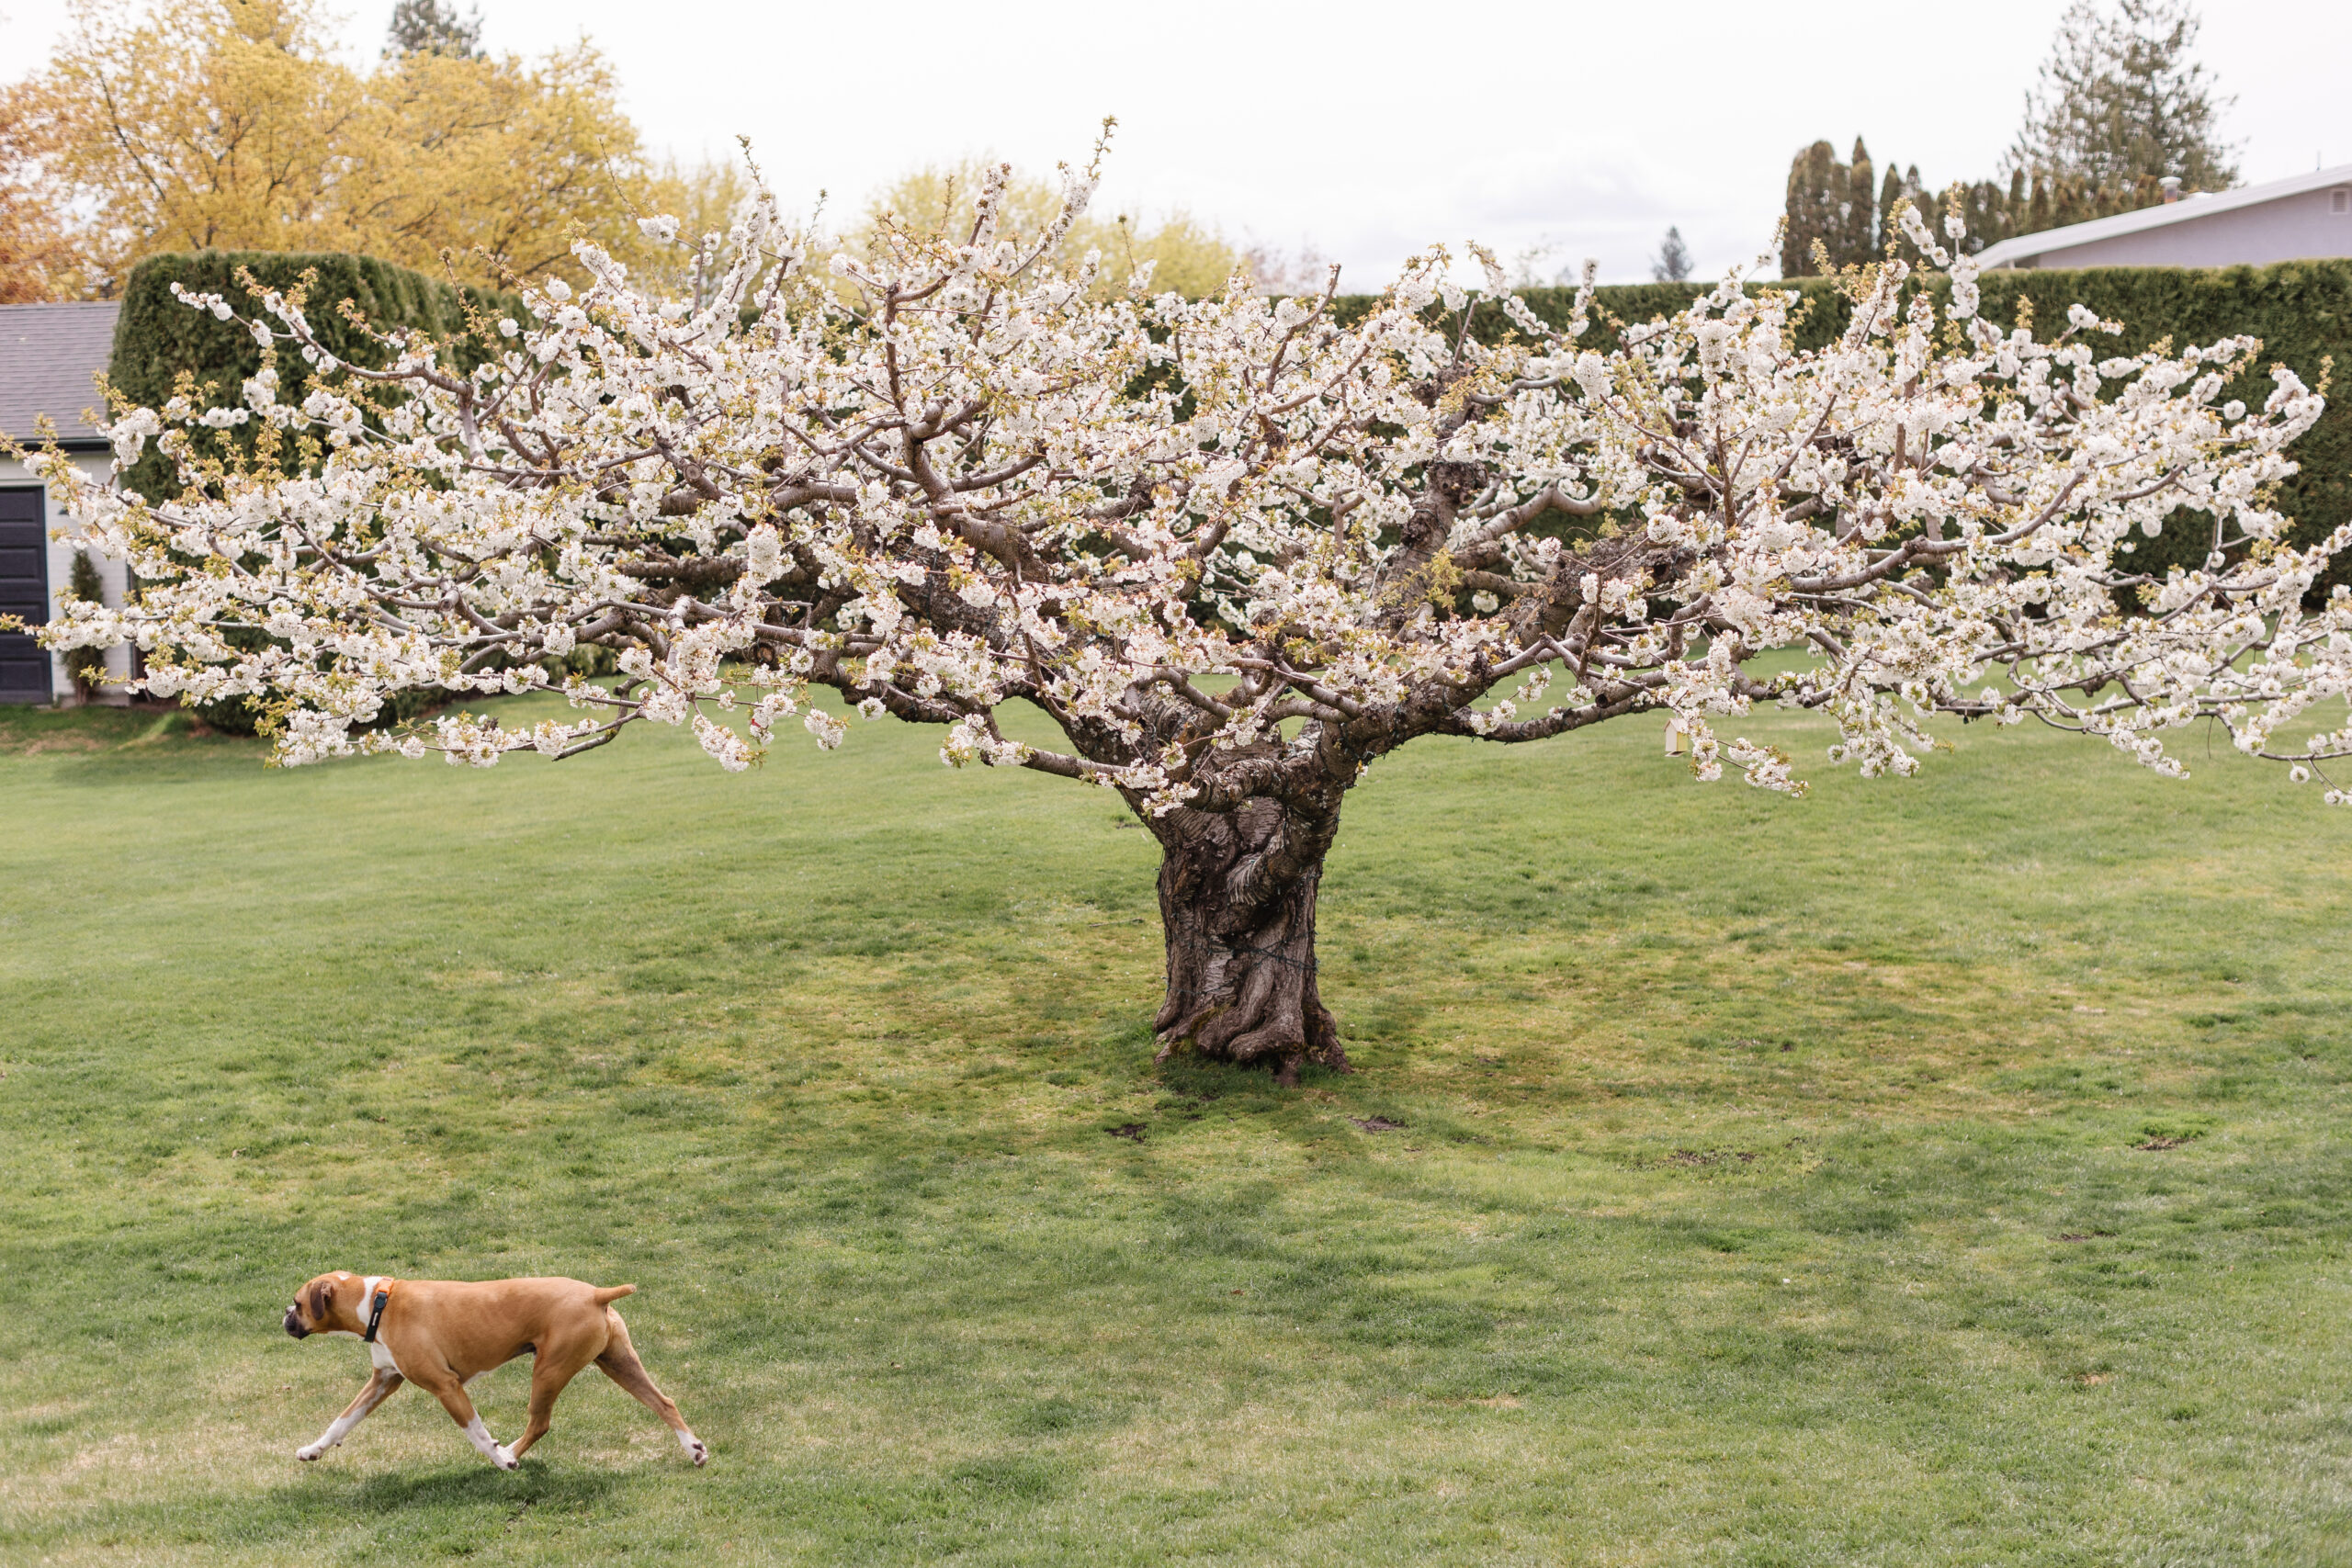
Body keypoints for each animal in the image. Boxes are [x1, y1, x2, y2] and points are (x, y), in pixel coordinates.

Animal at [280, 1279, 700, 1476]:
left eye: (298, 1304)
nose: (284, 1315)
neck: (379, 1302)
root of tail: (597, 1293)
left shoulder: (446, 1387)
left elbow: (477, 1433)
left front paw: (500, 1460)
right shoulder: (382, 1381)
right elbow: (340, 1423)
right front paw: (313, 1450)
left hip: (548, 1372)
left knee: (540, 1423)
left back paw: (510, 1452)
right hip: (618, 1364)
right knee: (665, 1403)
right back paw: (694, 1449)